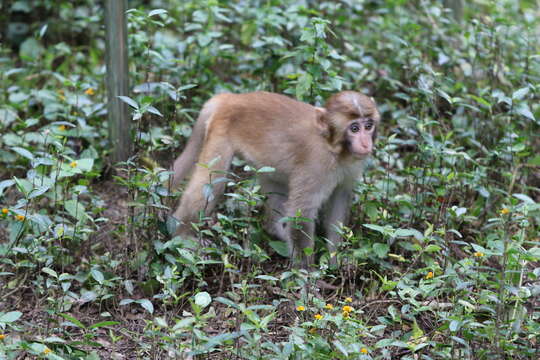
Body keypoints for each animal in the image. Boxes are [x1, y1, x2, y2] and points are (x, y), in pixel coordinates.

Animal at [171, 91, 378, 266]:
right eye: (354, 128)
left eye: (368, 126)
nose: (365, 143)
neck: (334, 148)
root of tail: (231, 98)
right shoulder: (316, 165)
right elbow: (301, 213)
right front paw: (308, 279)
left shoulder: (351, 166)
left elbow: (338, 202)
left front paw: (335, 261)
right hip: (220, 133)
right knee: (213, 185)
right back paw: (181, 235)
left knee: (276, 181)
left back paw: (276, 230)